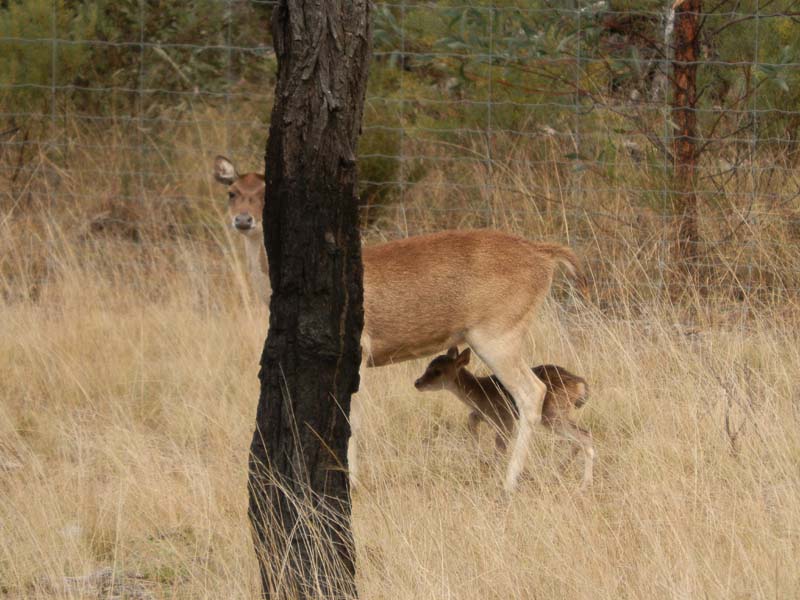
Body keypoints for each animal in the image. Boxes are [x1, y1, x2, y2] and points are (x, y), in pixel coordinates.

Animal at [414, 347, 595, 489]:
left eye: (438, 371)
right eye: (428, 365)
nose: (417, 383)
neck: (480, 394)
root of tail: (580, 384)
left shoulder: (505, 418)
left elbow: (500, 449)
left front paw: (495, 474)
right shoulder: (482, 415)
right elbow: (471, 421)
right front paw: (478, 454)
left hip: (552, 414)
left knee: (584, 436)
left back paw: (582, 485)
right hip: (559, 414)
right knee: (581, 437)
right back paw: (560, 472)